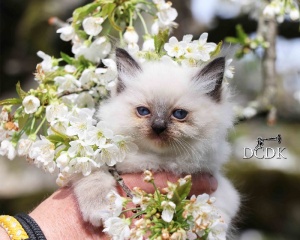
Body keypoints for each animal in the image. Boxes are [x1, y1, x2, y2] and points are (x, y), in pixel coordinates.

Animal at [74, 47, 240, 230]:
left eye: (179, 114)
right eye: (143, 111)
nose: (158, 126)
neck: (155, 160)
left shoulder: (221, 188)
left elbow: (214, 212)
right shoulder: (95, 163)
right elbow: (94, 174)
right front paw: (100, 209)